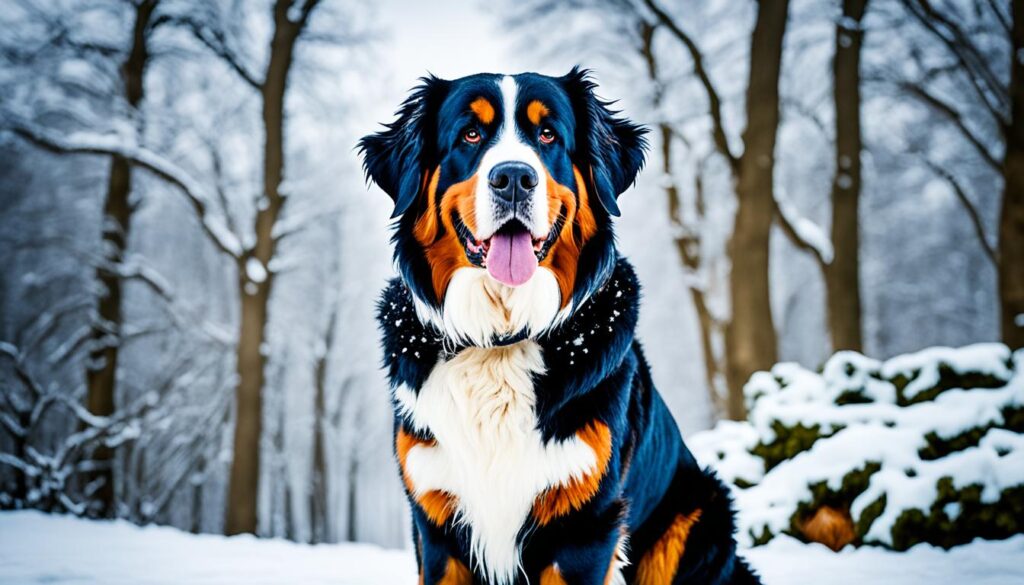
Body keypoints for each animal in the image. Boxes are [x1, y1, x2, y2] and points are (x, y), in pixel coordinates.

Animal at [360, 68, 761, 585]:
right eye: (470, 134)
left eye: (548, 135)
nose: (513, 177)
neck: (500, 340)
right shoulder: (436, 527)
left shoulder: (586, 526)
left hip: (692, 515)